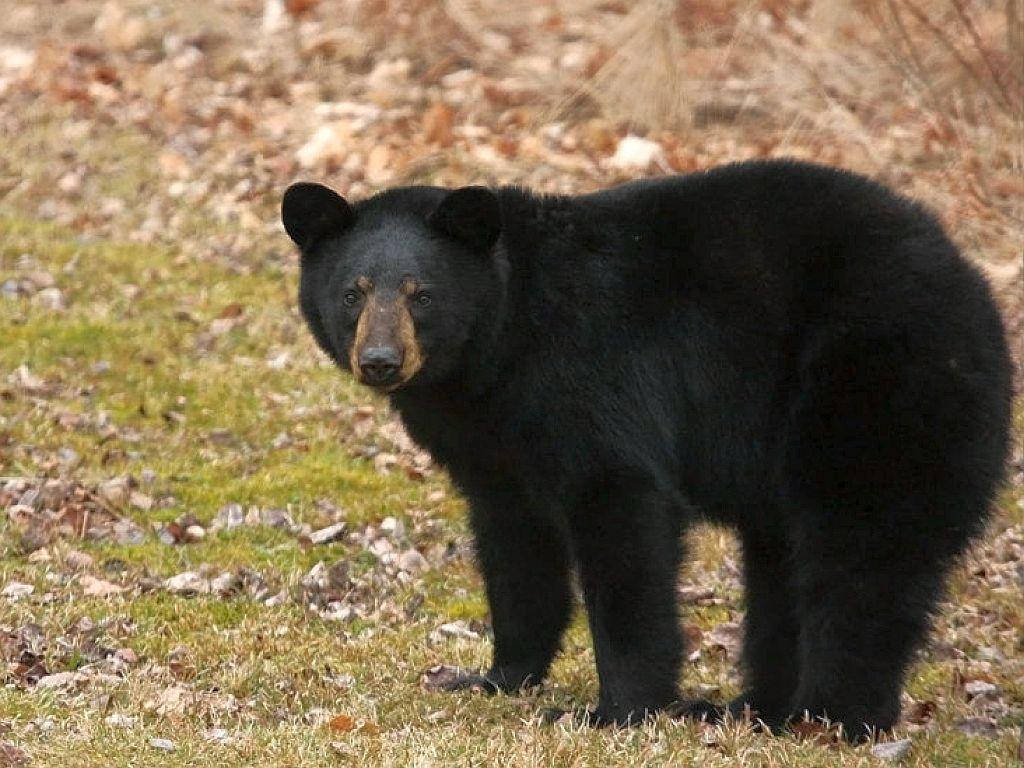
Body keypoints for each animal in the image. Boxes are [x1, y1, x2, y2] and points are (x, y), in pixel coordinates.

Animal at [282, 160, 1015, 741]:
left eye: (421, 295)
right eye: (352, 293)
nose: (381, 361)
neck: (496, 354)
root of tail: (977, 291)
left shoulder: (591, 375)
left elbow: (622, 521)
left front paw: (616, 710)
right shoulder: (494, 444)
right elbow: (514, 548)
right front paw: (496, 677)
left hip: (872, 383)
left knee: (860, 552)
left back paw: (830, 718)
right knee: (781, 563)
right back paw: (752, 708)